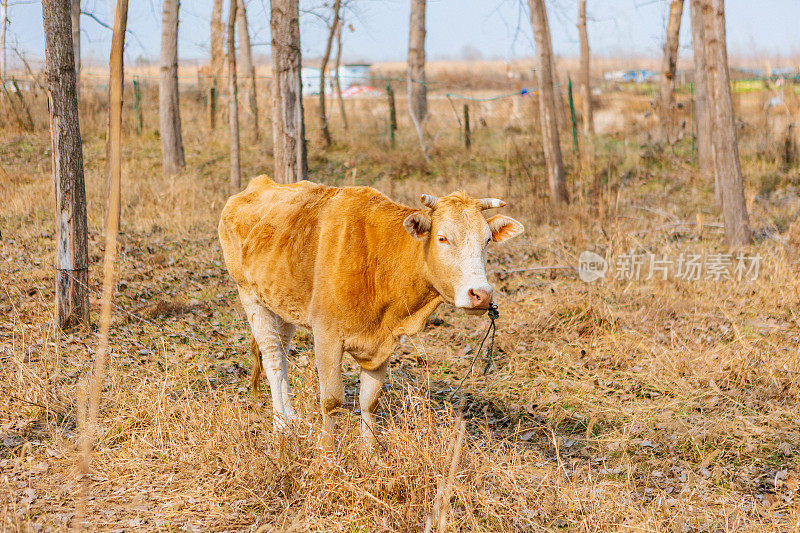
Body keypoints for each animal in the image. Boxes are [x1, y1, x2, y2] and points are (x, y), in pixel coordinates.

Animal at [217, 177, 524, 442]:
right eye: (442, 238)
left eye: (487, 240)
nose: (481, 294)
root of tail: (259, 184)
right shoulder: (326, 335)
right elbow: (331, 400)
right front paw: (327, 453)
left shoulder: (383, 341)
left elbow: (370, 400)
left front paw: (370, 450)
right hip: (250, 295)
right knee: (273, 360)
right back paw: (282, 424)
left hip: (281, 303)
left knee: (281, 351)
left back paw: (291, 419)